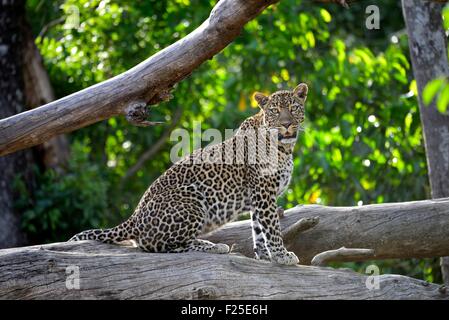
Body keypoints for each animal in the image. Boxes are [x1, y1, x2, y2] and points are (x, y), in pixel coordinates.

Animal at [69, 82, 308, 264]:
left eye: (294, 108)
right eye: (275, 111)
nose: (287, 124)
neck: (284, 147)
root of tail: (134, 218)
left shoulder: (258, 197)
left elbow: (258, 229)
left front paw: (265, 257)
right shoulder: (263, 192)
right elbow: (272, 228)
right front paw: (282, 255)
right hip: (192, 199)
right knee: (161, 246)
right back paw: (212, 246)